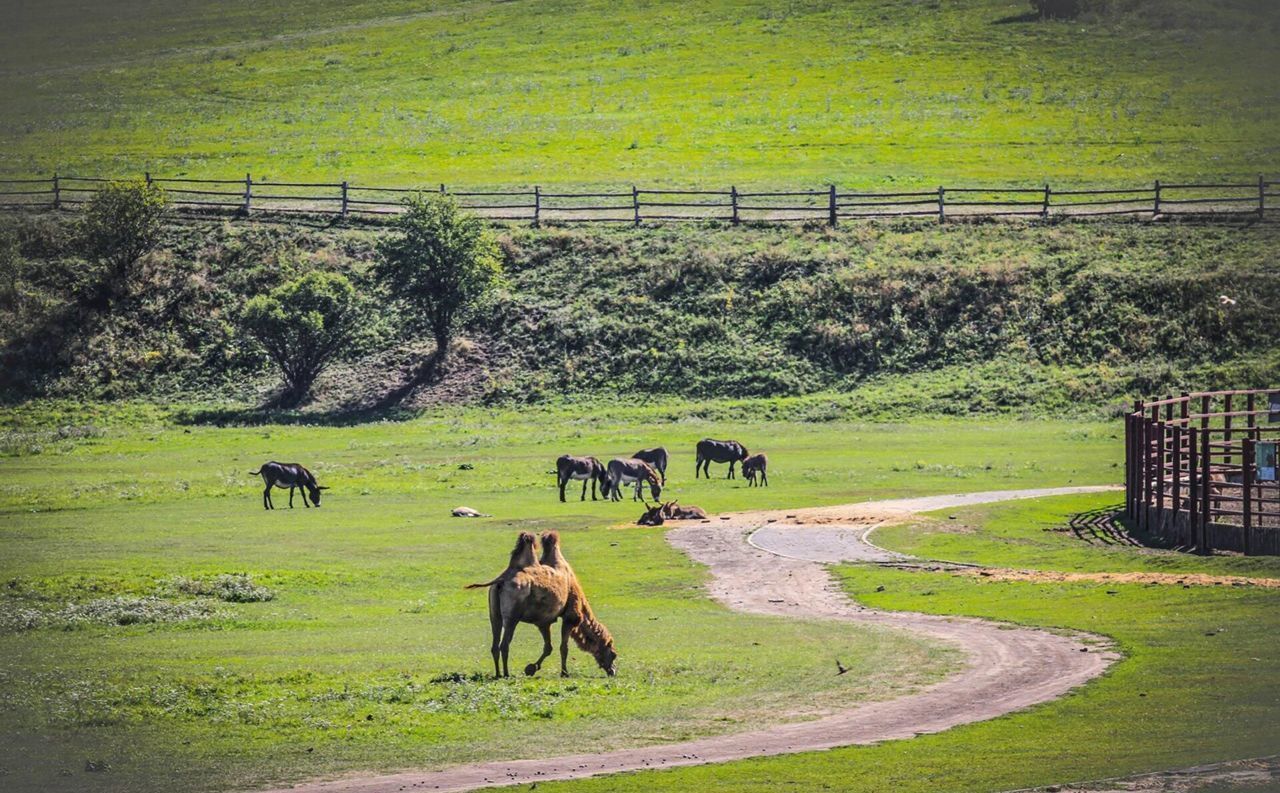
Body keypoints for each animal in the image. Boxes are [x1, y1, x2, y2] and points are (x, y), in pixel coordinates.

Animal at [468, 529, 616, 680]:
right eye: (613, 653)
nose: (613, 671)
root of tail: (501, 580)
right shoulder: (570, 617)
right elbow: (563, 647)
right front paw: (564, 673)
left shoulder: (544, 621)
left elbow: (548, 647)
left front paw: (531, 668)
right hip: (512, 615)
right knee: (504, 644)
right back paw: (506, 674)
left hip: (494, 612)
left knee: (495, 644)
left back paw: (498, 674)